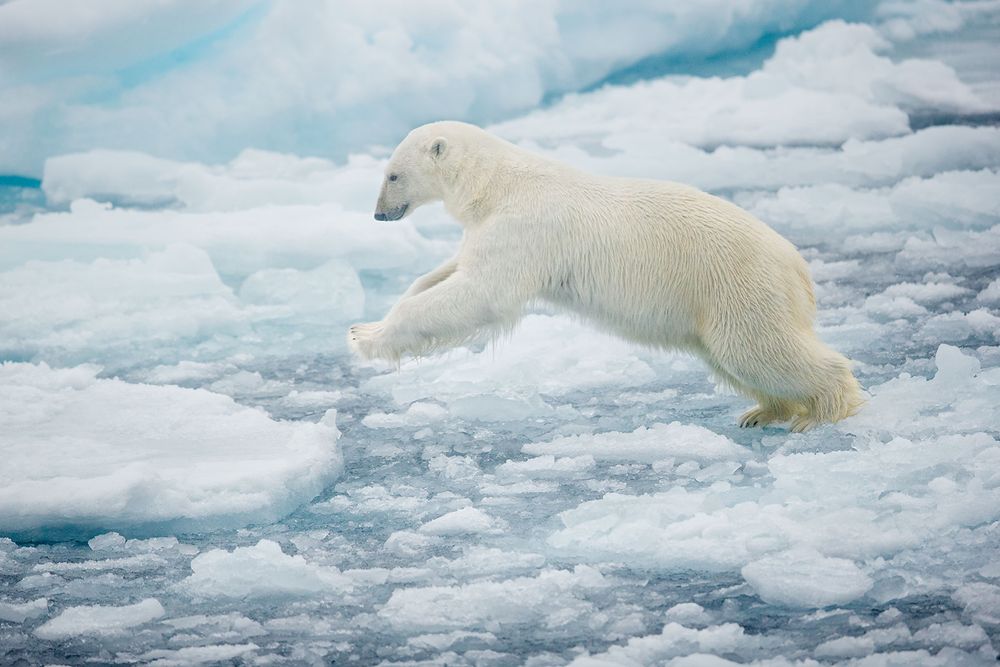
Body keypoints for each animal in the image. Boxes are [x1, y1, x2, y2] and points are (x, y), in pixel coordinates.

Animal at [349, 121, 863, 432]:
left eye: (392, 175)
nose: (378, 215)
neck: (496, 184)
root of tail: (797, 267)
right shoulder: (491, 226)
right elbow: (450, 273)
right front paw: (371, 320)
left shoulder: (525, 227)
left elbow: (481, 293)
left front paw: (365, 337)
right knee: (738, 358)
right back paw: (763, 411)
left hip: (735, 285)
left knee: (762, 349)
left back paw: (820, 412)